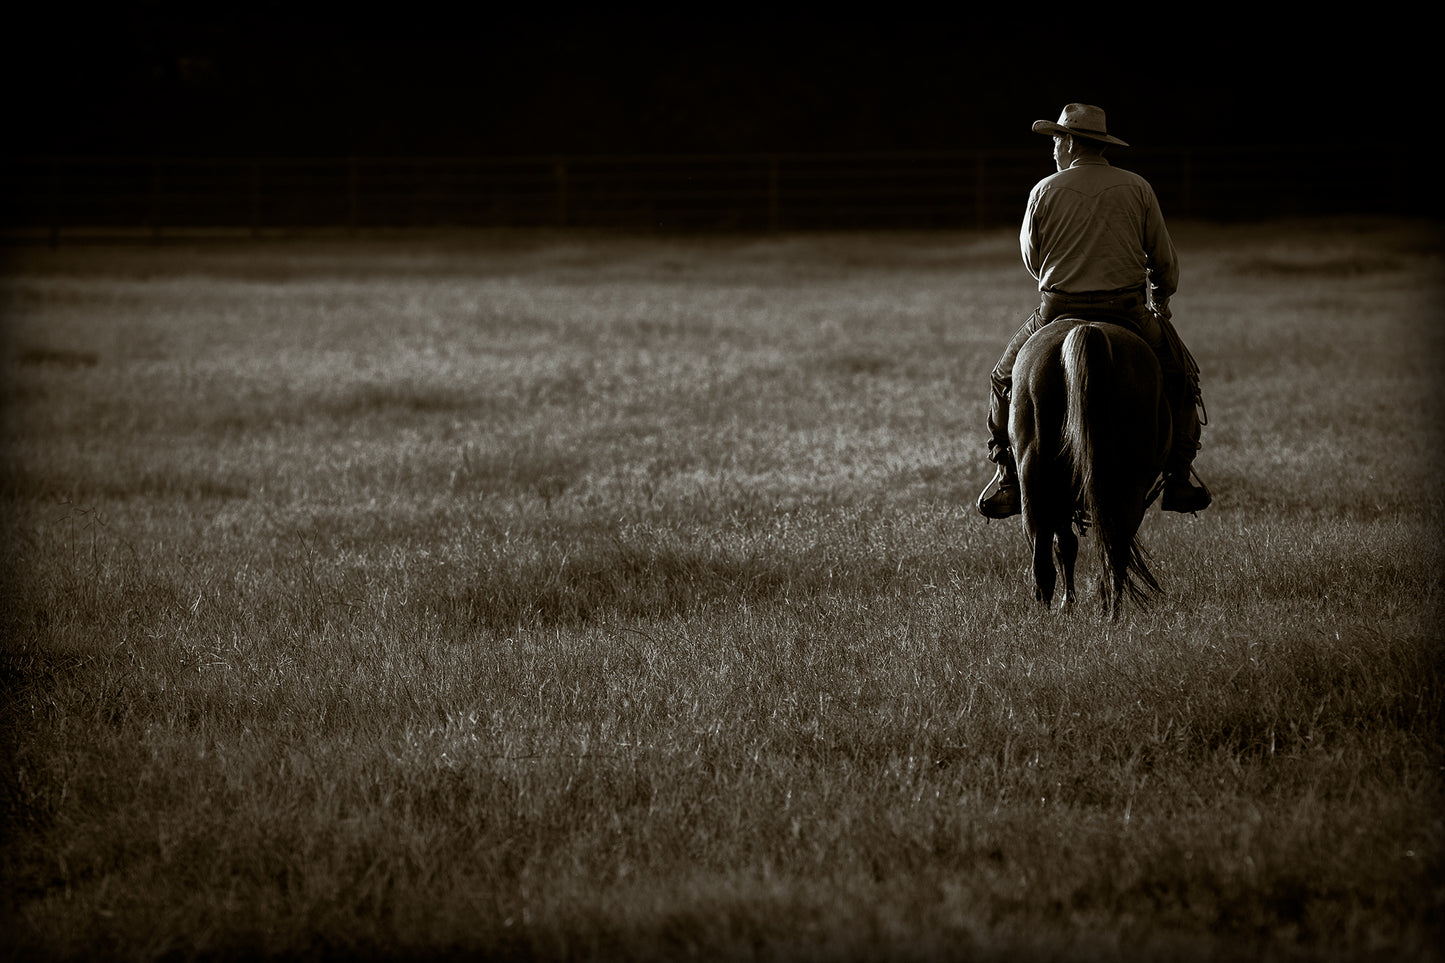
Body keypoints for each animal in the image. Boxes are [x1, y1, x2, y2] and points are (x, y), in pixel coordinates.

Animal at [1011, 316, 1167, 615]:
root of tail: (1087, 330)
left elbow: (1064, 546)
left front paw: (1068, 604)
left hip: (1035, 478)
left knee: (1044, 554)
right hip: (1128, 482)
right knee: (1116, 546)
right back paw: (1110, 610)